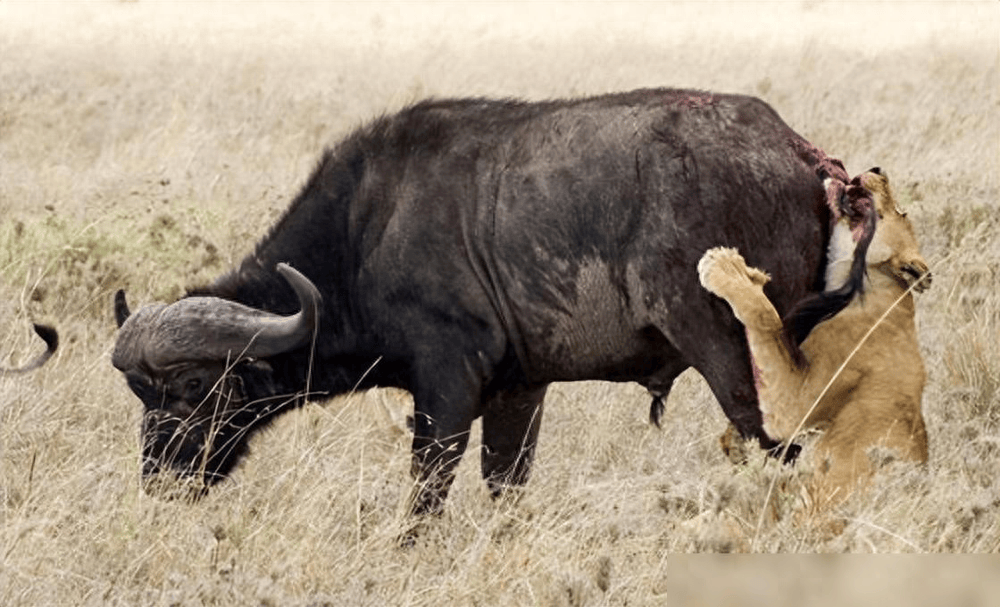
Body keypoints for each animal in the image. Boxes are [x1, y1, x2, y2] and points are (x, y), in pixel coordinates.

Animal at [119, 88, 852, 516]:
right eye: (141, 395)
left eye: (193, 385)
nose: (158, 477)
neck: (365, 229)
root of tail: (804, 156)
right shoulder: (517, 389)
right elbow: (505, 483)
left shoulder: (446, 382)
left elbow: (428, 484)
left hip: (733, 355)